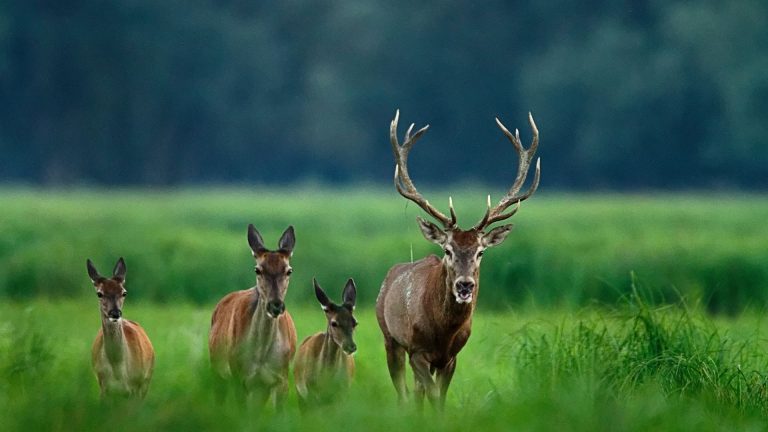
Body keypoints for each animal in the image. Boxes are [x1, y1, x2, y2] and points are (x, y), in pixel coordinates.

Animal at [88, 257, 155, 399]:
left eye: (124, 292)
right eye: (99, 293)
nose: (115, 313)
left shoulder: (136, 385)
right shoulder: (103, 386)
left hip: (147, 380)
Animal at [208, 225, 298, 409]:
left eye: (289, 271)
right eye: (258, 269)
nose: (275, 305)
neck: (261, 354)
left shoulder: (282, 378)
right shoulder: (238, 374)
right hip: (217, 368)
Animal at [293, 278, 357, 410]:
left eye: (355, 323)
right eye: (334, 323)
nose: (351, 346)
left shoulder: (342, 392)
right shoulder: (309, 391)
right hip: (300, 393)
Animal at [376, 109, 541, 410]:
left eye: (480, 251)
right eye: (448, 250)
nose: (465, 285)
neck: (443, 333)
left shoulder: (451, 358)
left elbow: (438, 398)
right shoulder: (417, 351)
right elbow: (429, 394)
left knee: (415, 392)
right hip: (389, 337)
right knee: (404, 392)